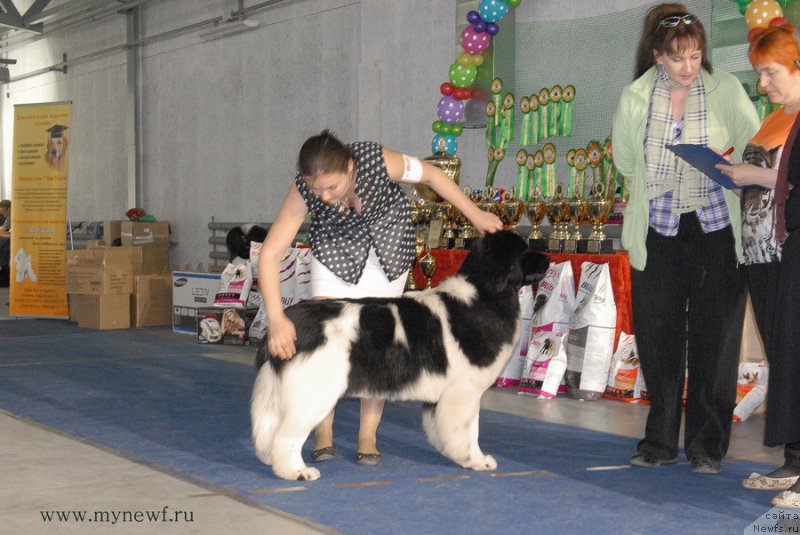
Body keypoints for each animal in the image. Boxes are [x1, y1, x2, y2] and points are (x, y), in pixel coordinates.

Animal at [252, 230, 552, 482]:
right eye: (525, 250)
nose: (549, 258)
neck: (483, 293)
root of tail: (286, 323)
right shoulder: (465, 391)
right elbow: (470, 430)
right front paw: (476, 460)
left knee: (269, 429)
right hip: (313, 392)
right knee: (286, 435)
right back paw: (296, 471)